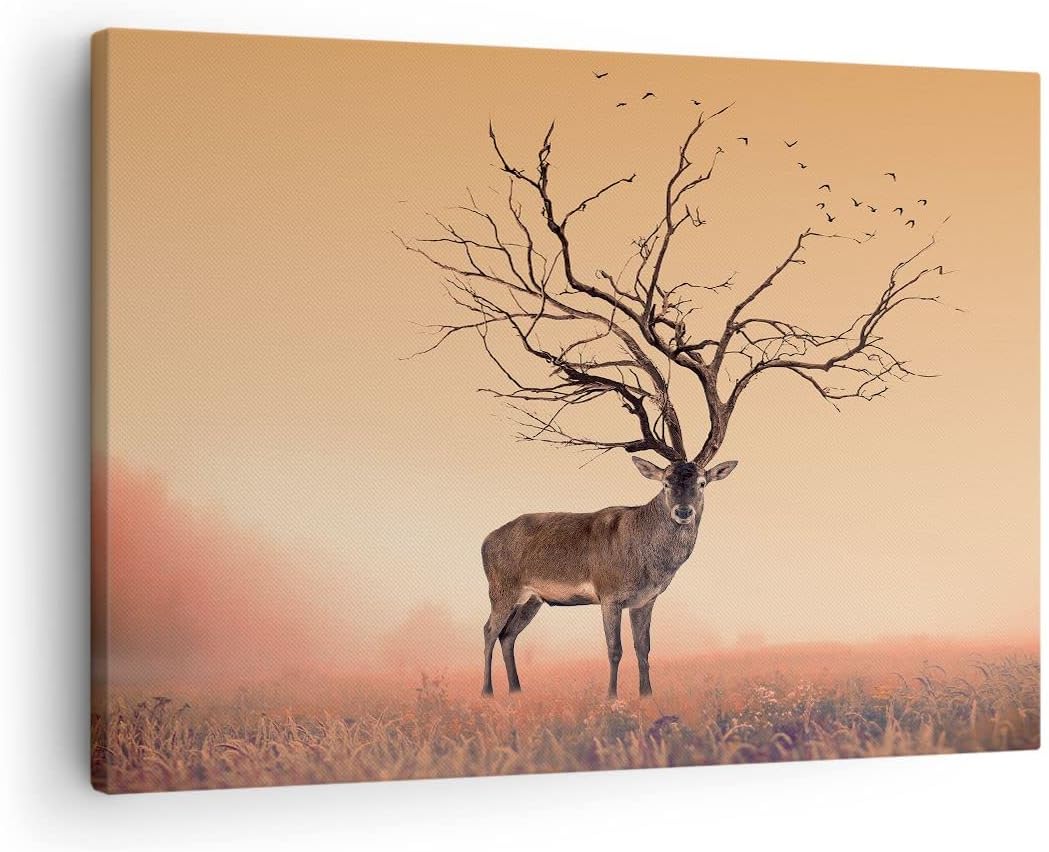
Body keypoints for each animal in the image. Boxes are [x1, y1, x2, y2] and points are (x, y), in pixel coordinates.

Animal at [481, 455, 737, 697]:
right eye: (666, 483)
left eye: (702, 483)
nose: (683, 511)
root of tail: (485, 541)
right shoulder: (609, 594)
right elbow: (615, 649)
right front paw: (612, 696)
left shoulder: (645, 600)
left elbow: (643, 648)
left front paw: (646, 695)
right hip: (501, 589)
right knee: (489, 631)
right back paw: (487, 691)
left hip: (532, 600)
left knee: (508, 635)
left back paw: (516, 690)